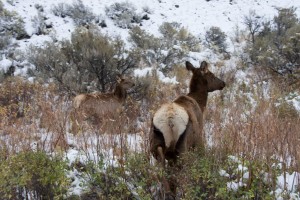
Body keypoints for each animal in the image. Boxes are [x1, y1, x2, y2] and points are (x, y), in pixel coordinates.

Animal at [150, 60, 225, 198]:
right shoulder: (198, 140)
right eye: (211, 74)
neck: (200, 104)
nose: (223, 83)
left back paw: (168, 193)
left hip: (156, 145)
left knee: (163, 170)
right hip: (182, 149)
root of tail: (170, 120)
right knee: (181, 176)